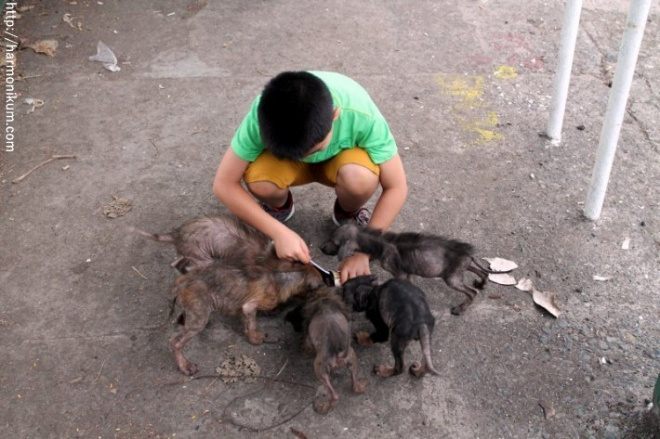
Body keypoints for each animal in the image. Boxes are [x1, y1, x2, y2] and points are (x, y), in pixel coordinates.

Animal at [170, 253, 324, 376]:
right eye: (320, 284)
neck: (282, 278)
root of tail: (180, 284)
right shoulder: (249, 307)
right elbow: (252, 325)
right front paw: (256, 338)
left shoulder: (245, 309)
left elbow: (247, 323)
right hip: (199, 317)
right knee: (175, 342)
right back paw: (185, 365)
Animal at [284, 288, 366, 416]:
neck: (323, 297)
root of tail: (338, 352)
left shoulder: (308, 336)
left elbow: (306, 345)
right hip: (352, 357)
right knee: (354, 384)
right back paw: (360, 387)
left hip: (319, 368)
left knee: (334, 397)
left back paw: (322, 408)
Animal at [320, 223, 506, 316]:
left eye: (333, 242)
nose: (321, 247)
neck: (380, 243)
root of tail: (467, 253)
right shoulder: (407, 273)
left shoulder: (400, 273)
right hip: (462, 268)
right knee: (482, 272)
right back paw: (482, 283)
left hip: (452, 278)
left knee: (472, 292)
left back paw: (460, 309)